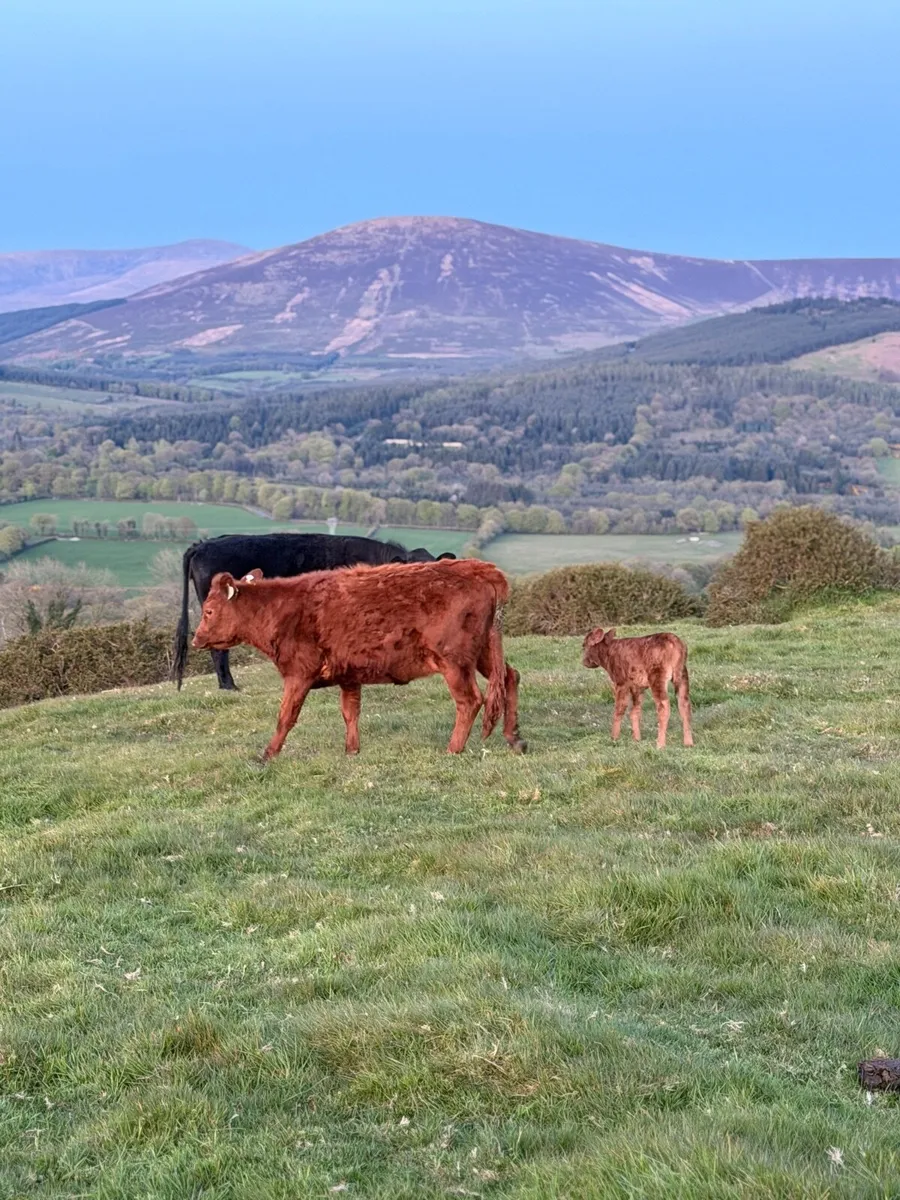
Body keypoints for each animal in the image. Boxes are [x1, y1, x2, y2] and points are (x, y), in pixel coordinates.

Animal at [191, 558, 527, 760]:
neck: (279, 609)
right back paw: (514, 738)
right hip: (484, 653)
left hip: (454, 661)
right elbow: (350, 712)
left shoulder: (299, 673)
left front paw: (268, 754)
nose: (195, 639)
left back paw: (453, 749)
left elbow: (286, 716)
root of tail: (478, 567)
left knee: (470, 700)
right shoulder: (349, 675)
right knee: (511, 676)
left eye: (208, 611)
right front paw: (352, 750)